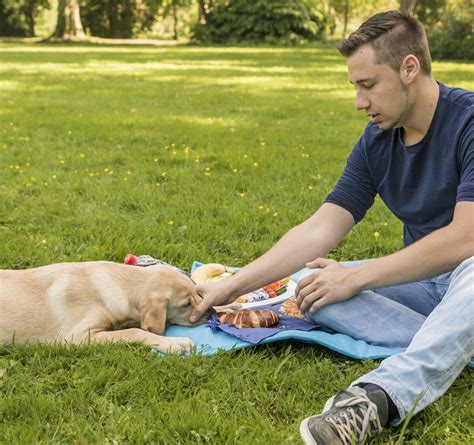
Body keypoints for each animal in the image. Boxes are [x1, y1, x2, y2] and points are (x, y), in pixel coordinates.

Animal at [0, 260, 207, 354]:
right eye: (186, 304)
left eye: (197, 293)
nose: (211, 312)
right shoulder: (76, 337)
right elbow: (134, 331)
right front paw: (173, 343)